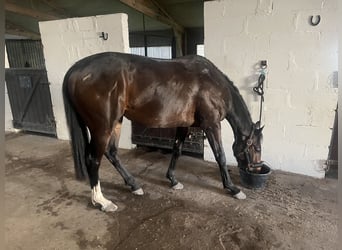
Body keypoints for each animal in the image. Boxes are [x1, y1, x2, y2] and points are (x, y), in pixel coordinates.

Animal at [62, 51, 264, 212]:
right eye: (256, 148)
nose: (256, 169)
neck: (213, 84)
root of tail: (76, 69)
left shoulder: (183, 124)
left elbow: (177, 150)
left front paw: (173, 180)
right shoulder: (212, 124)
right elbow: (220, 156)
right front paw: (233, 189)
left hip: (116, 122)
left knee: (111, 153)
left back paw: (134, 185)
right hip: (102, 127)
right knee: (94, 160)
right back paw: (102, 201)